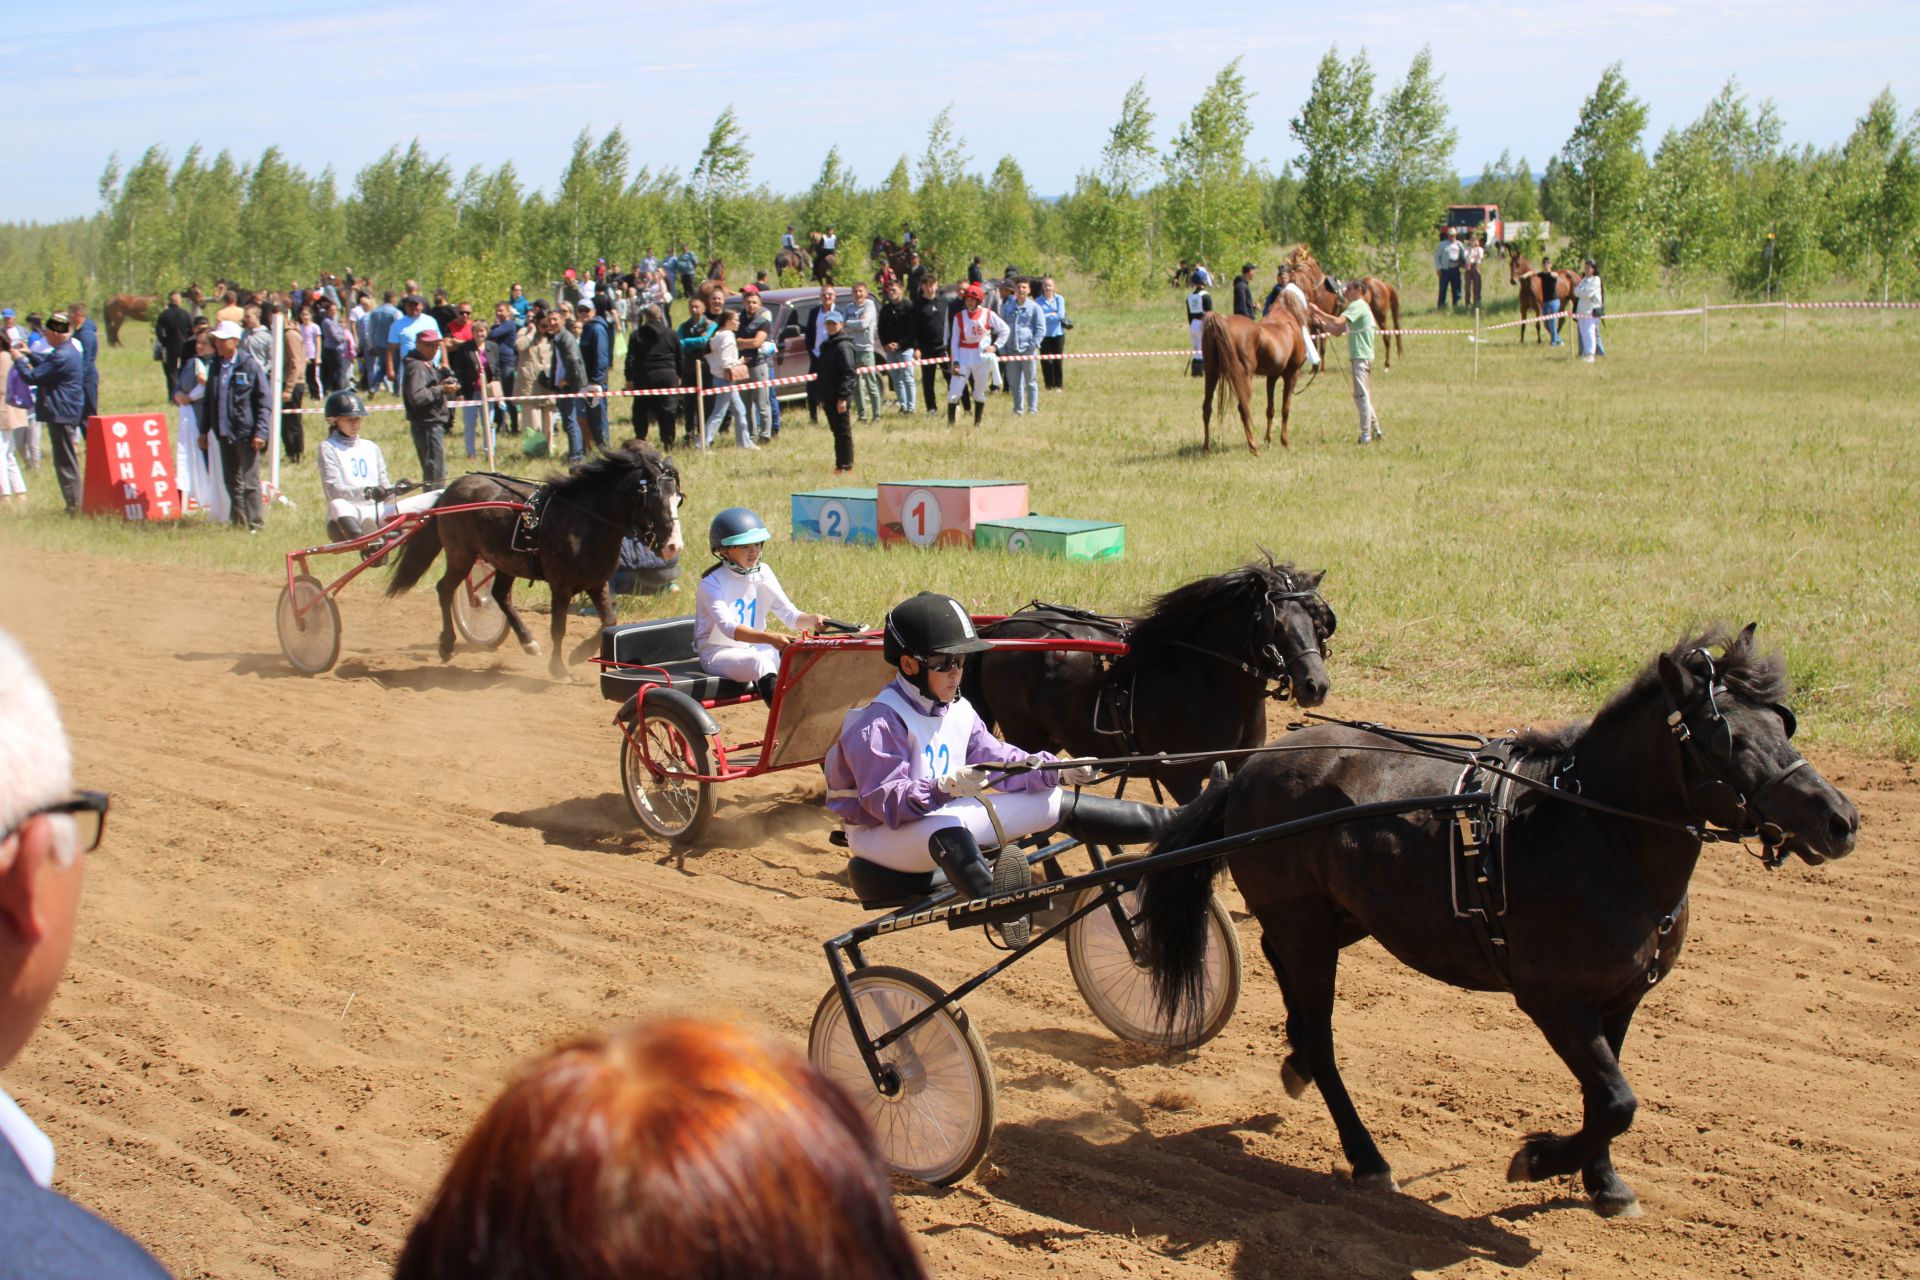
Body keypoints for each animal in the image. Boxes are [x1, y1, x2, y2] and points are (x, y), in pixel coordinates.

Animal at [384, 445, 683, 679]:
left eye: (678, 498)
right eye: (655, 497)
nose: (674, 546)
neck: (584, 521)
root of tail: (449, 489)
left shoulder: (597, 583)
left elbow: (609, 620)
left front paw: (578, 654)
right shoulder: (561, 586)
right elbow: (558, 628)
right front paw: (559, 668)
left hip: (504, 560)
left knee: (500, 595)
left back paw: (528, 641)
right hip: (461, 554)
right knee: (445, 589)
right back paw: (447, 644)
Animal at [960, 552, 1336, 802]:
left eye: (1318, 622)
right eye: (1277, 625)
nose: (1315, 685)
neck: (1206, 681)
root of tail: (1004, 627)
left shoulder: (1236, 766)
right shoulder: (1181, 777)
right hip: (1024, 733)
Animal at [1136, 625, 1858, 1220]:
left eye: (1784, 723)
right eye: (1727, 739)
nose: (1840, 819)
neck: (1593, 833)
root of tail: (1250, 769)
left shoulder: (1621, 998)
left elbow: (1607, 1095)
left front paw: (1604, 1183)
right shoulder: (1554, 1001)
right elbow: (1618, 1101)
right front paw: (1540, 1159)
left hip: (1337, 919)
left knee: (1279, 966)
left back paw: (1294, 1062)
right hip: (1309, 928)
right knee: (1320, 1037)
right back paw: (1366, 1156)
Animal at [1198, 307, 1320, 452]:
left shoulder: (1272, 377)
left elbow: (1270, 410)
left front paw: (1268, 440)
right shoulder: (1291, 376)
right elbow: (1285, 409)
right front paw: (1284, 441)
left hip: (1211, 374)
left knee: (1207, 408)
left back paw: (1207, 447)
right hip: (1243, 378)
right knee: (1243, 408)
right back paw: (1253, 446)